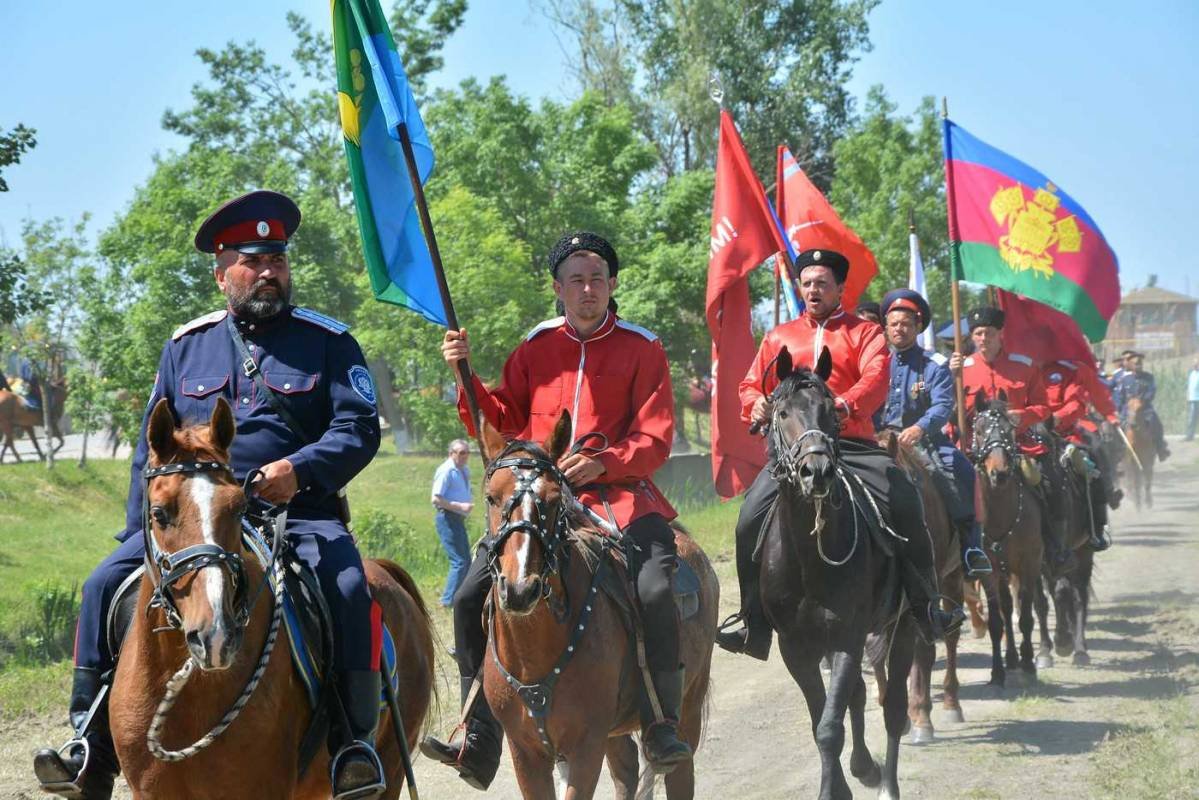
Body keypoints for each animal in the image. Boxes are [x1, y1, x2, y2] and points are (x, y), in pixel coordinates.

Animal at [479, 412, 719, 800]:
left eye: (553, 499)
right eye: (491, 497)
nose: (520, 589)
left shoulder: (585, 747)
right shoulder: (525, 754)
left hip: (687, 709)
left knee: (679, 772)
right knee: (626, 769)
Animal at [757, 347, 906, 800]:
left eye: (830, 412)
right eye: (782, 411)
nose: (817, 472)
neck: (808, 561)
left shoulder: (846, 636)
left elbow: (828, 726)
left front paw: (836, 787)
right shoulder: (796, 646)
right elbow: (821, 717)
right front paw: (842, 782)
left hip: (905, 624)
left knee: (894, 708)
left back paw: (887, 783)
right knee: (858, 694)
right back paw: (865, 767)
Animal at [968, 393, 1045, 690]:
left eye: (1010, 430)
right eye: (979, 430)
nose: (998, 474)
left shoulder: (1029, 564)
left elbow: (1026, 616)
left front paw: (1028, 664)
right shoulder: (988, 570)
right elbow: (996, 621)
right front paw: (997, 671)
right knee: (1005, 606)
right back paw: (1011, 658)